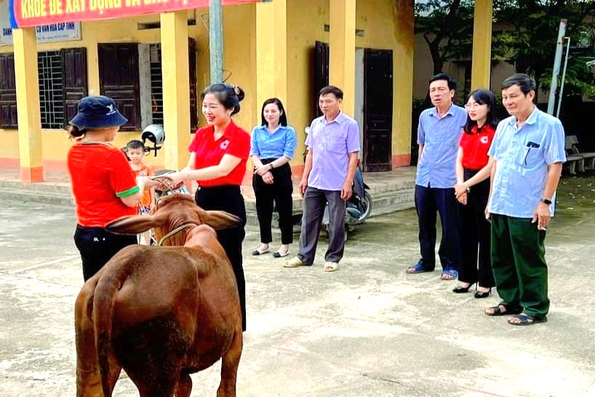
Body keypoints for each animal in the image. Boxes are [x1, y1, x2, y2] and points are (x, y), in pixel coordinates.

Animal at [75, 193, 243, 396]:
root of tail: (116, 271)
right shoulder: (235, 342)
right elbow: (226, 388)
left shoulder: (184, 373)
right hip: (159, 374)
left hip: (91, 366)